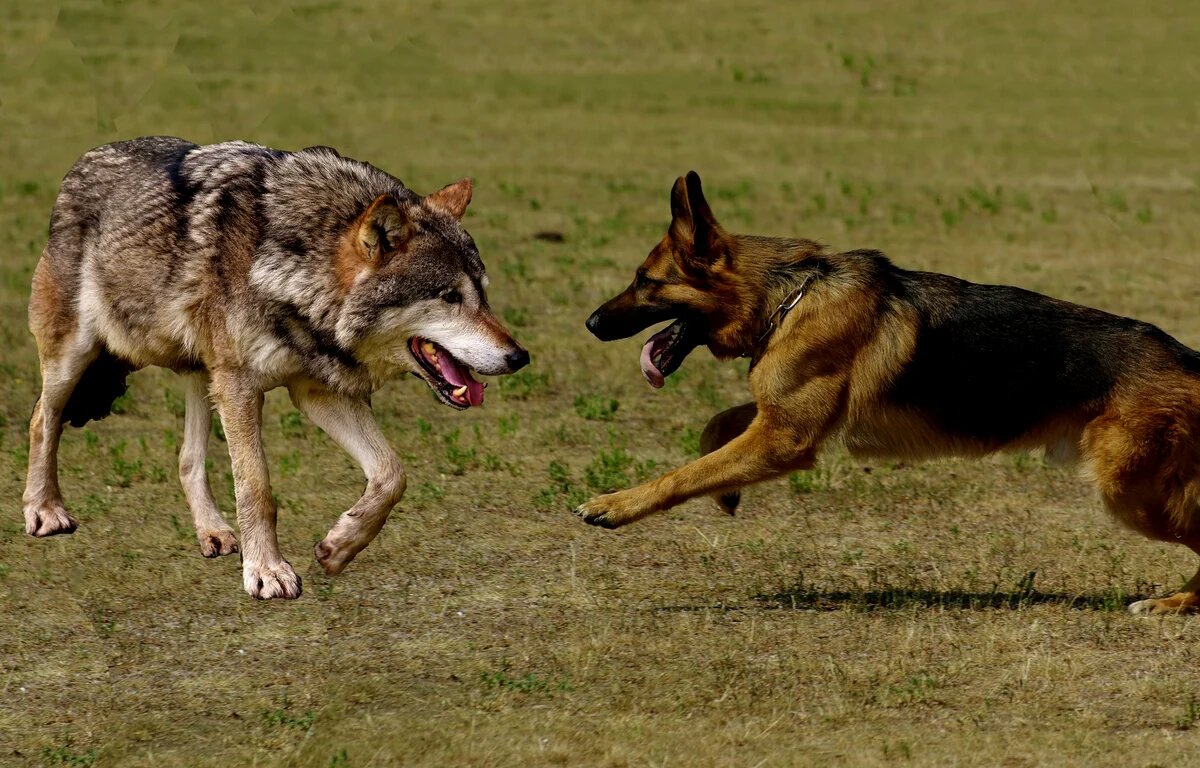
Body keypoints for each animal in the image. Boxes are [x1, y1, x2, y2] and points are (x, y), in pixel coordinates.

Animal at [22, 138, 530, 600]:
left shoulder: (317, 392)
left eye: (483, 294)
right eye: (449, 296)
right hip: (76, 358)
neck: (293, 270)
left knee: (187, 460)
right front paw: (266, 572)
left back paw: (213, 532)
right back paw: (44, 511)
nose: (519, 356)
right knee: (41, 420)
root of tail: (83, 162)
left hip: (203, 377)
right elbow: (257, 489)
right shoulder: (242, 387)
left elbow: (392, 474)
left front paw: (339, 547)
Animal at [576, 170, 1200, 614]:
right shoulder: (784, 421)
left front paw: (614, 504)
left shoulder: (784, 439)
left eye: (645, 281)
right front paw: (725, 491)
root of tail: (1188, 359)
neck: (787, 294)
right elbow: (716, 432)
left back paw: (1171, 602)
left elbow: (681, 474)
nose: (590, 323)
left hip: (1128, 492)